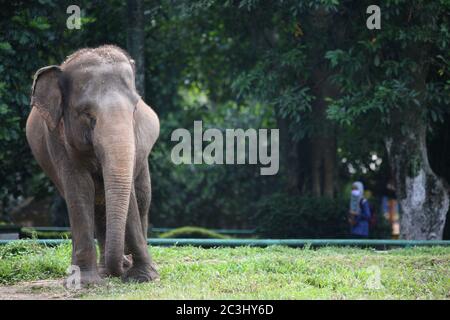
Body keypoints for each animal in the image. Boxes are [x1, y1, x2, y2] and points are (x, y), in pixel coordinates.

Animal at [25, 44, 160, 284]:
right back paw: (106, 270)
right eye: (87, 114)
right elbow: (80, 189)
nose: (122, 268)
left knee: (142, 199)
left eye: (135, 109)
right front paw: (85, 281)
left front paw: (143, 277)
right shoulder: (58, 139)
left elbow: (129, 195)